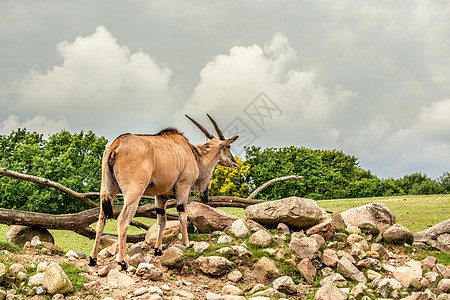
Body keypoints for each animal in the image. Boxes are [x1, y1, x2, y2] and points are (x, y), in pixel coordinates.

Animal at [87, 114, 239, 270]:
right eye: (228, 146)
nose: (234, 163)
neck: (194, 155)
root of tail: (116, 145)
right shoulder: (183, 187)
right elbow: (182, 215)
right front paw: (186, 243)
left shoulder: (160, 196)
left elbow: (162, 221)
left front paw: (158, 250)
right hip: (133, 194)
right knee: (122, 221)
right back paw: (123, 262)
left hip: (109, 190)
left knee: (101, 219)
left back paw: (93, 259)